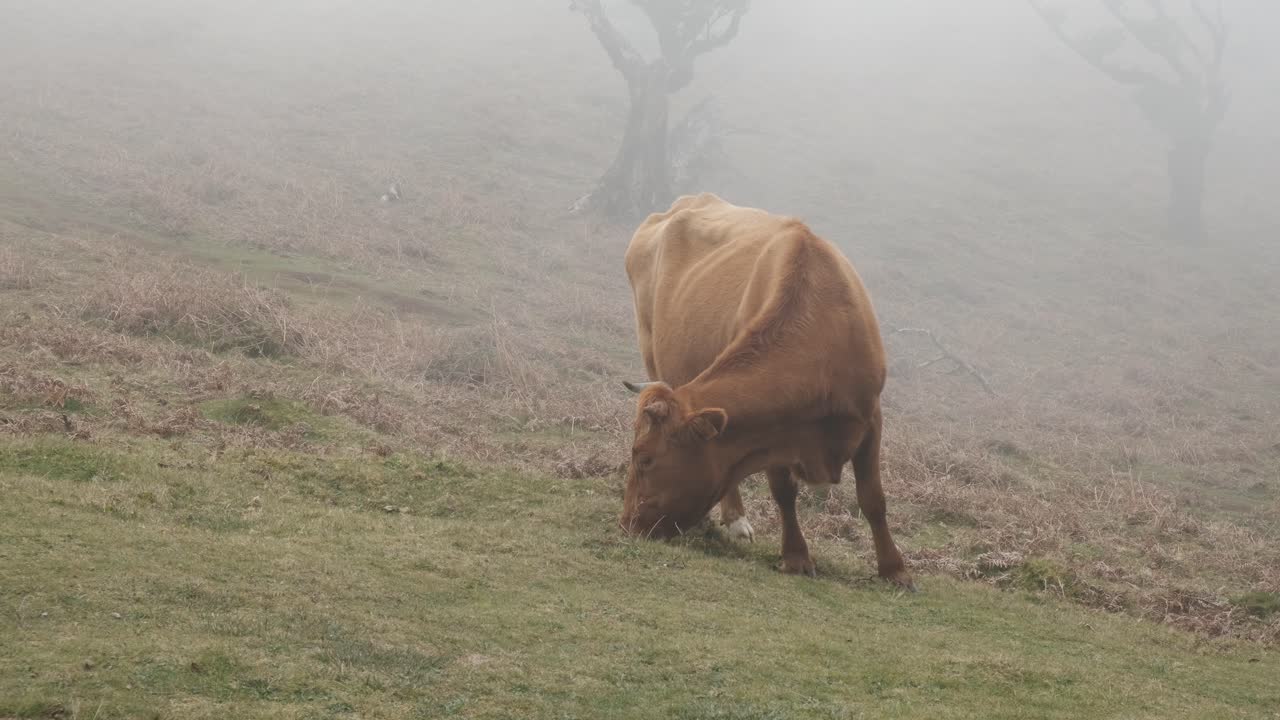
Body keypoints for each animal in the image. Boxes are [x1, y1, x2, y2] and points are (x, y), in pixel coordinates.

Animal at [619, 192, 913, 588]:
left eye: (644, 458)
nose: (626, 524)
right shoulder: (773, 433)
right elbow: (784, 493)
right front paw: (796, 556)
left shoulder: (870, 417)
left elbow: (873, 498)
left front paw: (894, 569)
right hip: (651, 350)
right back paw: (734, 520)